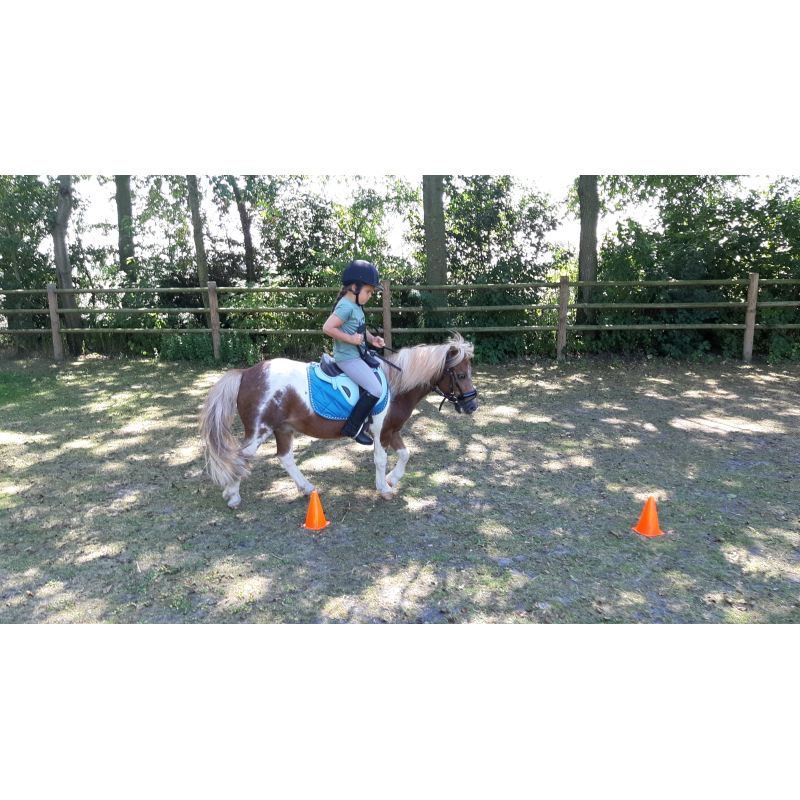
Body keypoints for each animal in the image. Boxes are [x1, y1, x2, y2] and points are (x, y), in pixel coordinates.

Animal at [198, 333, 479, 508]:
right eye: (461, 375)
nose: (472, 406)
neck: (396, 386)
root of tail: (246, 373)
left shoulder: (392, 430)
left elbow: (405, 454)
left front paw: (392, 479)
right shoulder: (381, 432)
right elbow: (380, 459)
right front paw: (384, 488)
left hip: (283, 429)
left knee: (285, 458)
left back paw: (306, 488)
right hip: (259, 431)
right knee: (240, 458)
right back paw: (233, 496)